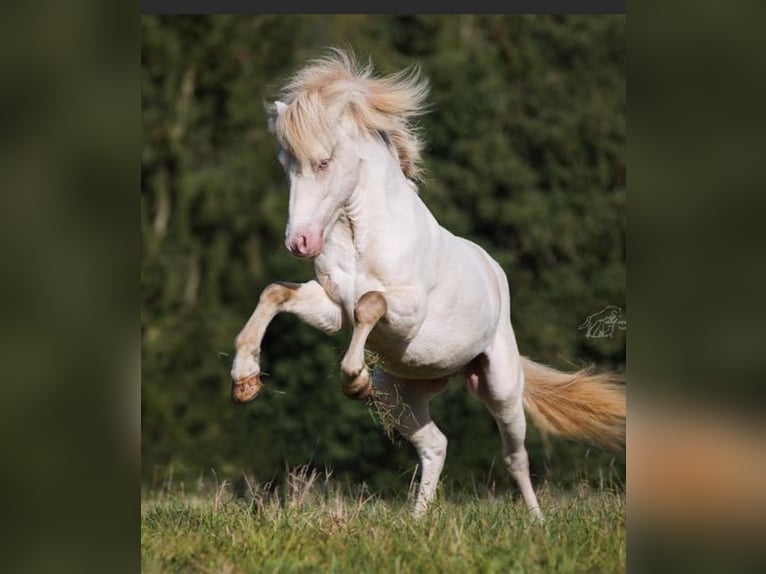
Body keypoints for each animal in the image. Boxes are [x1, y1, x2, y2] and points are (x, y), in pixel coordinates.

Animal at [230, 49, 625, 519]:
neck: (362, 237)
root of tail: (493, 271)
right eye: (285, 165)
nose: (299, 242)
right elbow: (275, 293)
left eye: (324, 161)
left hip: (501, 386)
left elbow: (369, 304)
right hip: (401, 395)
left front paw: (354, 380)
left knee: (515, 457)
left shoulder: (407, 312)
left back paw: (537, 522)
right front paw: (245, 380)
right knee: (436, 445)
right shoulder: (330, 309)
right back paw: (417, 521)